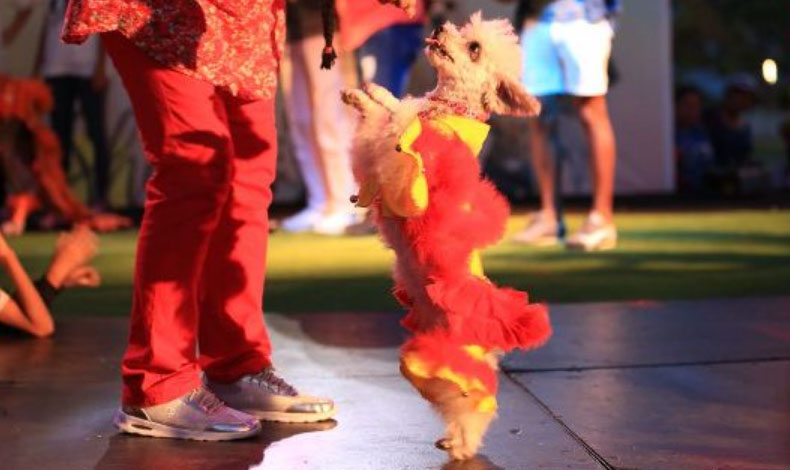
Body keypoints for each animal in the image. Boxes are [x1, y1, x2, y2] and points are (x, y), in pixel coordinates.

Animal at [344, 12, 552, 460]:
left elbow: (397, 121)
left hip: (447, 364)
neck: (446, 111)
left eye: (474, 49)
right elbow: (387, 118)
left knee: (473, 407)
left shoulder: (404, 161)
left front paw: (380, 99)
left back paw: (463, 445)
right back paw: (451, 437)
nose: (439, 26)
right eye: (461, 30)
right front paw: (367, 94)